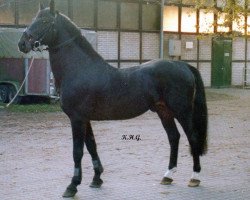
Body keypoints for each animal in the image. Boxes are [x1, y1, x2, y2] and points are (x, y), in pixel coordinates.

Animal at [18, 0, 207, 197]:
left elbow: (77, 151)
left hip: (182, 111)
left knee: (192, 137)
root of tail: (182, 65)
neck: (80, 69)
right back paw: (168, 175)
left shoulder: (77, 119)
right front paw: (96, 179)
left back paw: (194, 177)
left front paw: (72, 186)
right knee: (174, 137)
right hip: (164, 111)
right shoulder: (85, 119)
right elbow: (91, 146)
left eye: (45, 21)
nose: (22, 43)